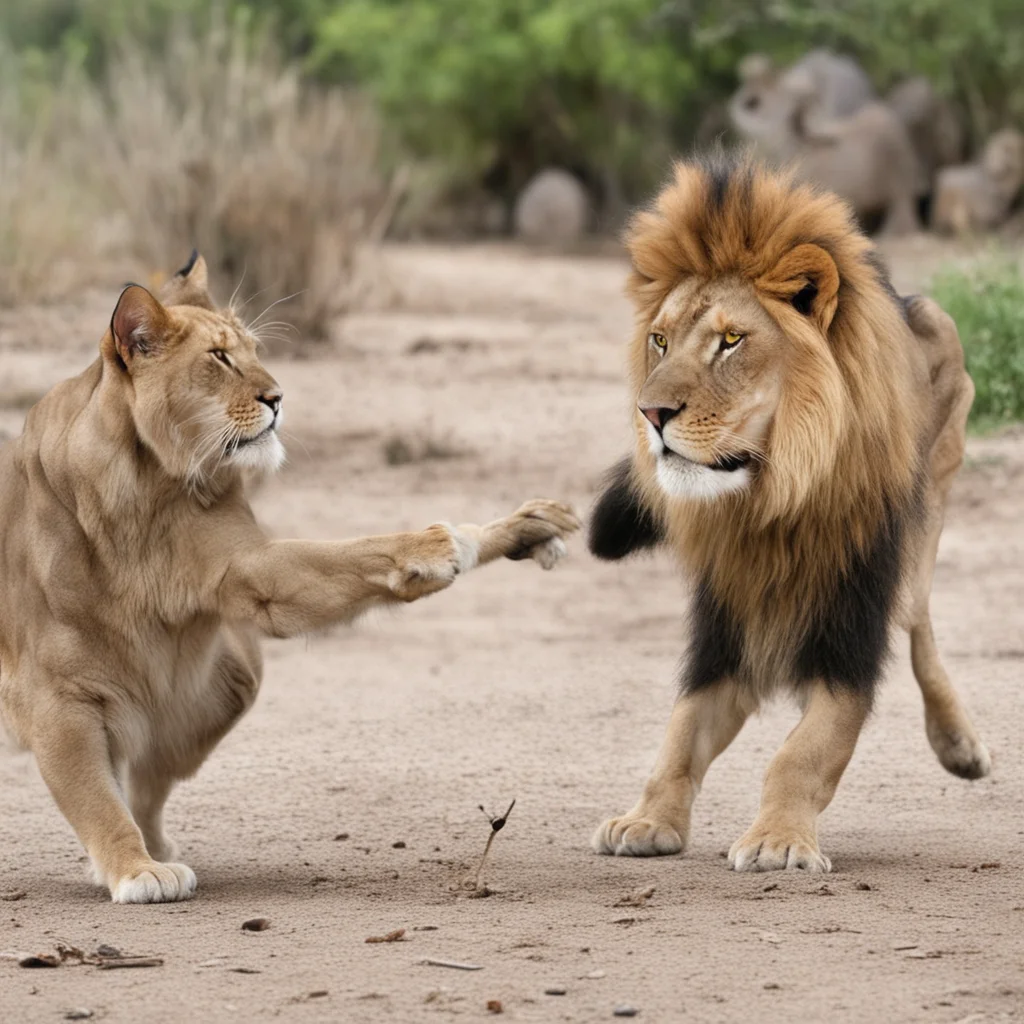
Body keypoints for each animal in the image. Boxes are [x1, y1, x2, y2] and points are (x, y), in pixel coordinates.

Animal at [0, 251, 577, 901]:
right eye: (219, 357)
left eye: (253, 349)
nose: (278, 398)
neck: (145, 484)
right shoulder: (57, 697)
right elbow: (94, 797)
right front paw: (135, 871)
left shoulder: (249, 573)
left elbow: (349, 557)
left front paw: (500, 532)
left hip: (230, 681)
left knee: (148, 779)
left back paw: (157, 843)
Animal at [589, 157, 987, 872]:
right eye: (659, 341)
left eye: (730, 341)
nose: (650, 414)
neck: (768, 507)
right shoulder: (724, 629)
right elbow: (679, 735)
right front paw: (646, 820)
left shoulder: (850, 631)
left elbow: (804, 752)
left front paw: (778, 840)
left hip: (926, 510)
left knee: (917, 618)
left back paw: (958, 744)